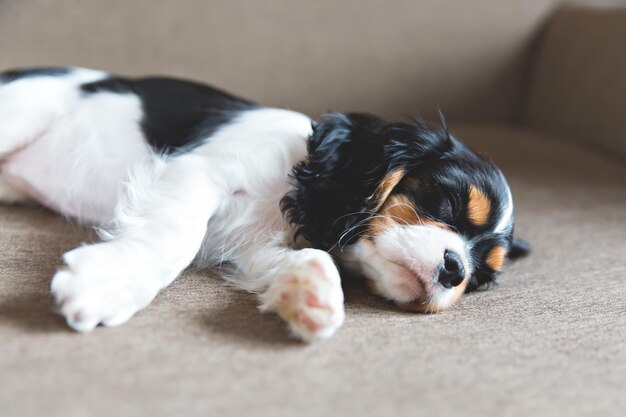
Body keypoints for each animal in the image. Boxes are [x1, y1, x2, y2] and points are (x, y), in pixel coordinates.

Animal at [0, 66, 528, 342]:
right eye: (446, 202)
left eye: (481, 279)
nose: (456, 271)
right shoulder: (199, 171)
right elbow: (177, 236)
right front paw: (107, 283)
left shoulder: (252, 248)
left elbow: (304, 256)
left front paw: (311, 293)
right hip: (24, 110)